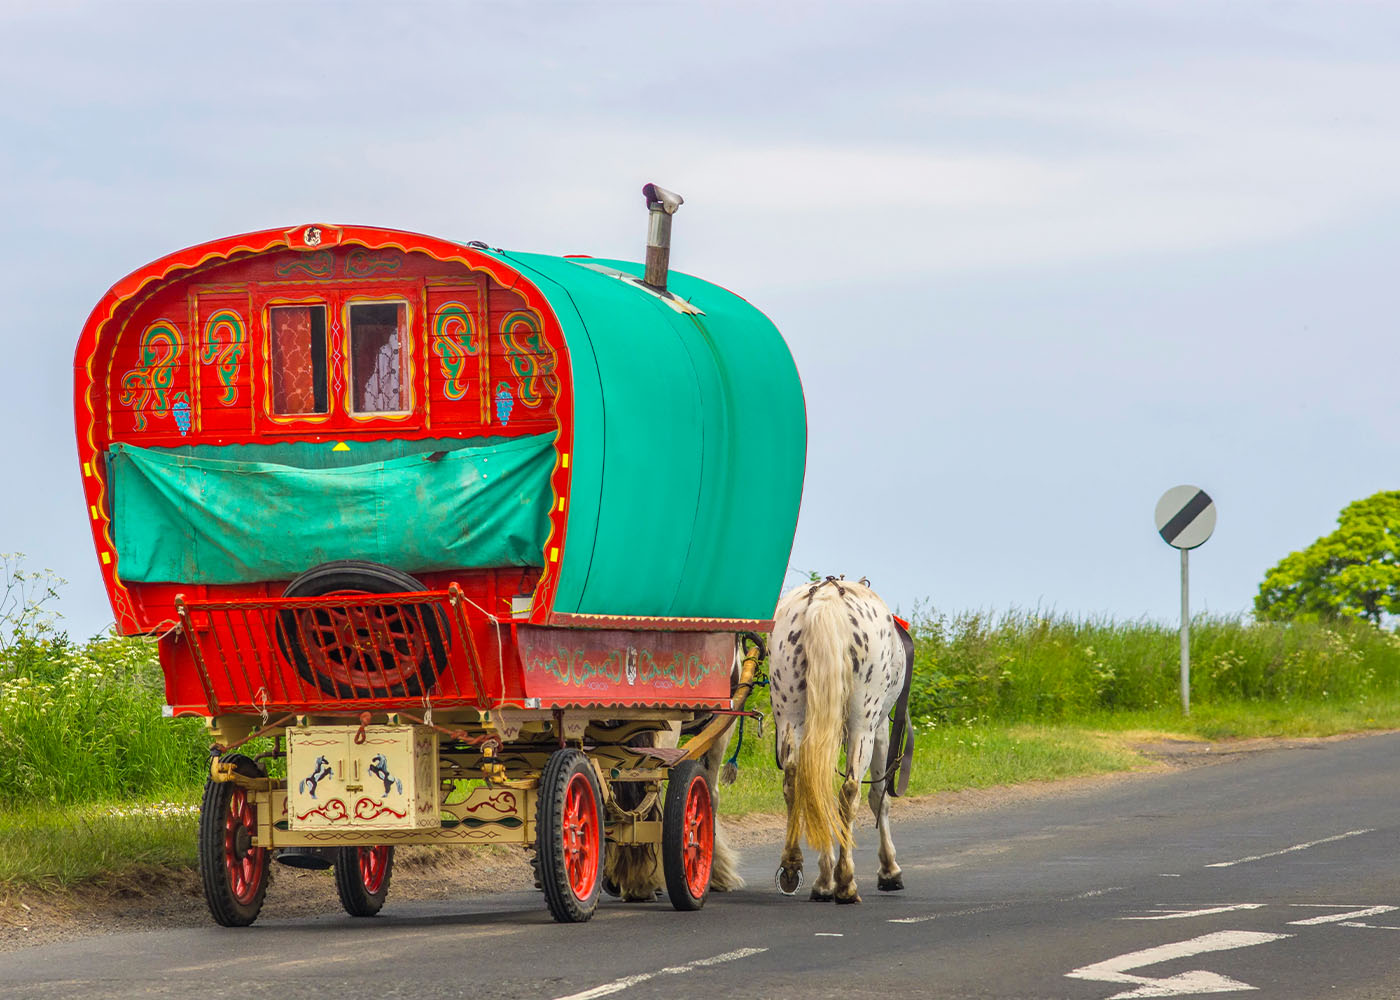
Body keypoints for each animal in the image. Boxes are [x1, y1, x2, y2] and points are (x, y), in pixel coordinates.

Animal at [772, 571, 912, 901]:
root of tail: (826, 599)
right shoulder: (880, 730)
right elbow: (879, 797)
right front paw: (889, 870)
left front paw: (824, 881)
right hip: (864, 722)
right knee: (849, 791)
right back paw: (846, 882)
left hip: (791, 716)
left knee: (798, 783)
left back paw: (797, 868)